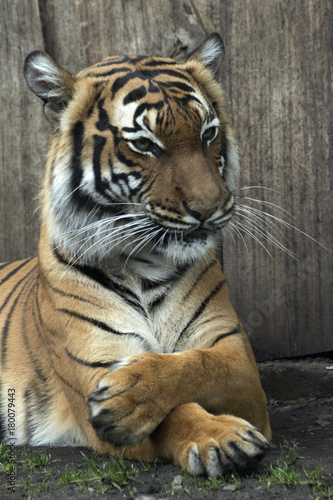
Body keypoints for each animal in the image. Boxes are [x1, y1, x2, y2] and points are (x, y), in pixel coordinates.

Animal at [0, 32, 270, 476]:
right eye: (144, 144)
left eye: (208, 134)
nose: (209, 208)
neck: (148, 265)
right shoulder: (92, 363)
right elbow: (174, 415)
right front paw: (220, 437)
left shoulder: (234, 352)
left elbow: (198, 365)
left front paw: (131, 393)